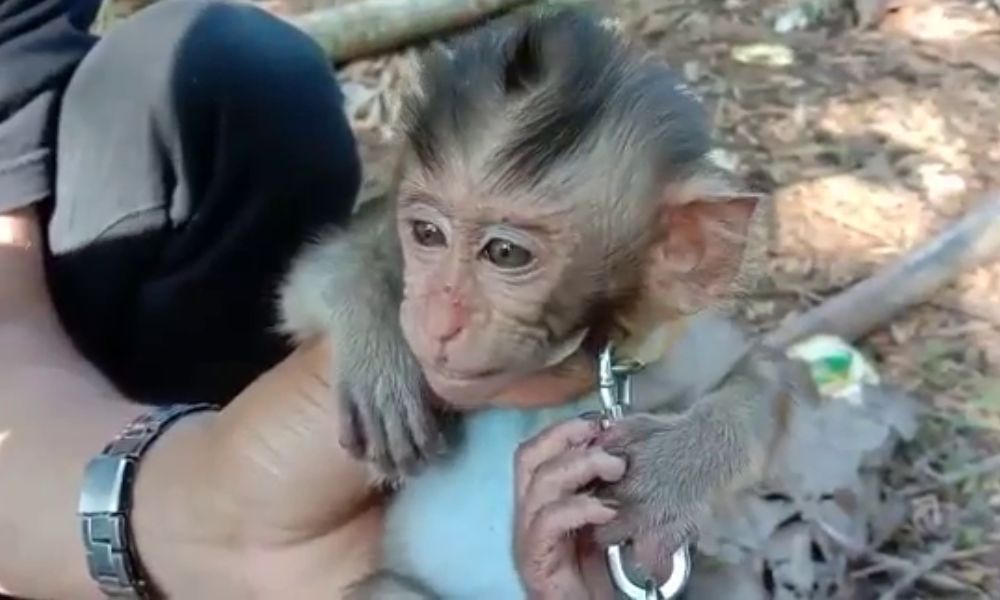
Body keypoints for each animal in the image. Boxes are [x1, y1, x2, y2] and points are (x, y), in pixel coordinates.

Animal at [276, 7, 817, 597]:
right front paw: (376, 352)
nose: (437, 320)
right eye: (426, 234)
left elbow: (772, 377)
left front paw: (672, 468)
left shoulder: (672, 339)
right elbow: (311, 279)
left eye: (505, 253)